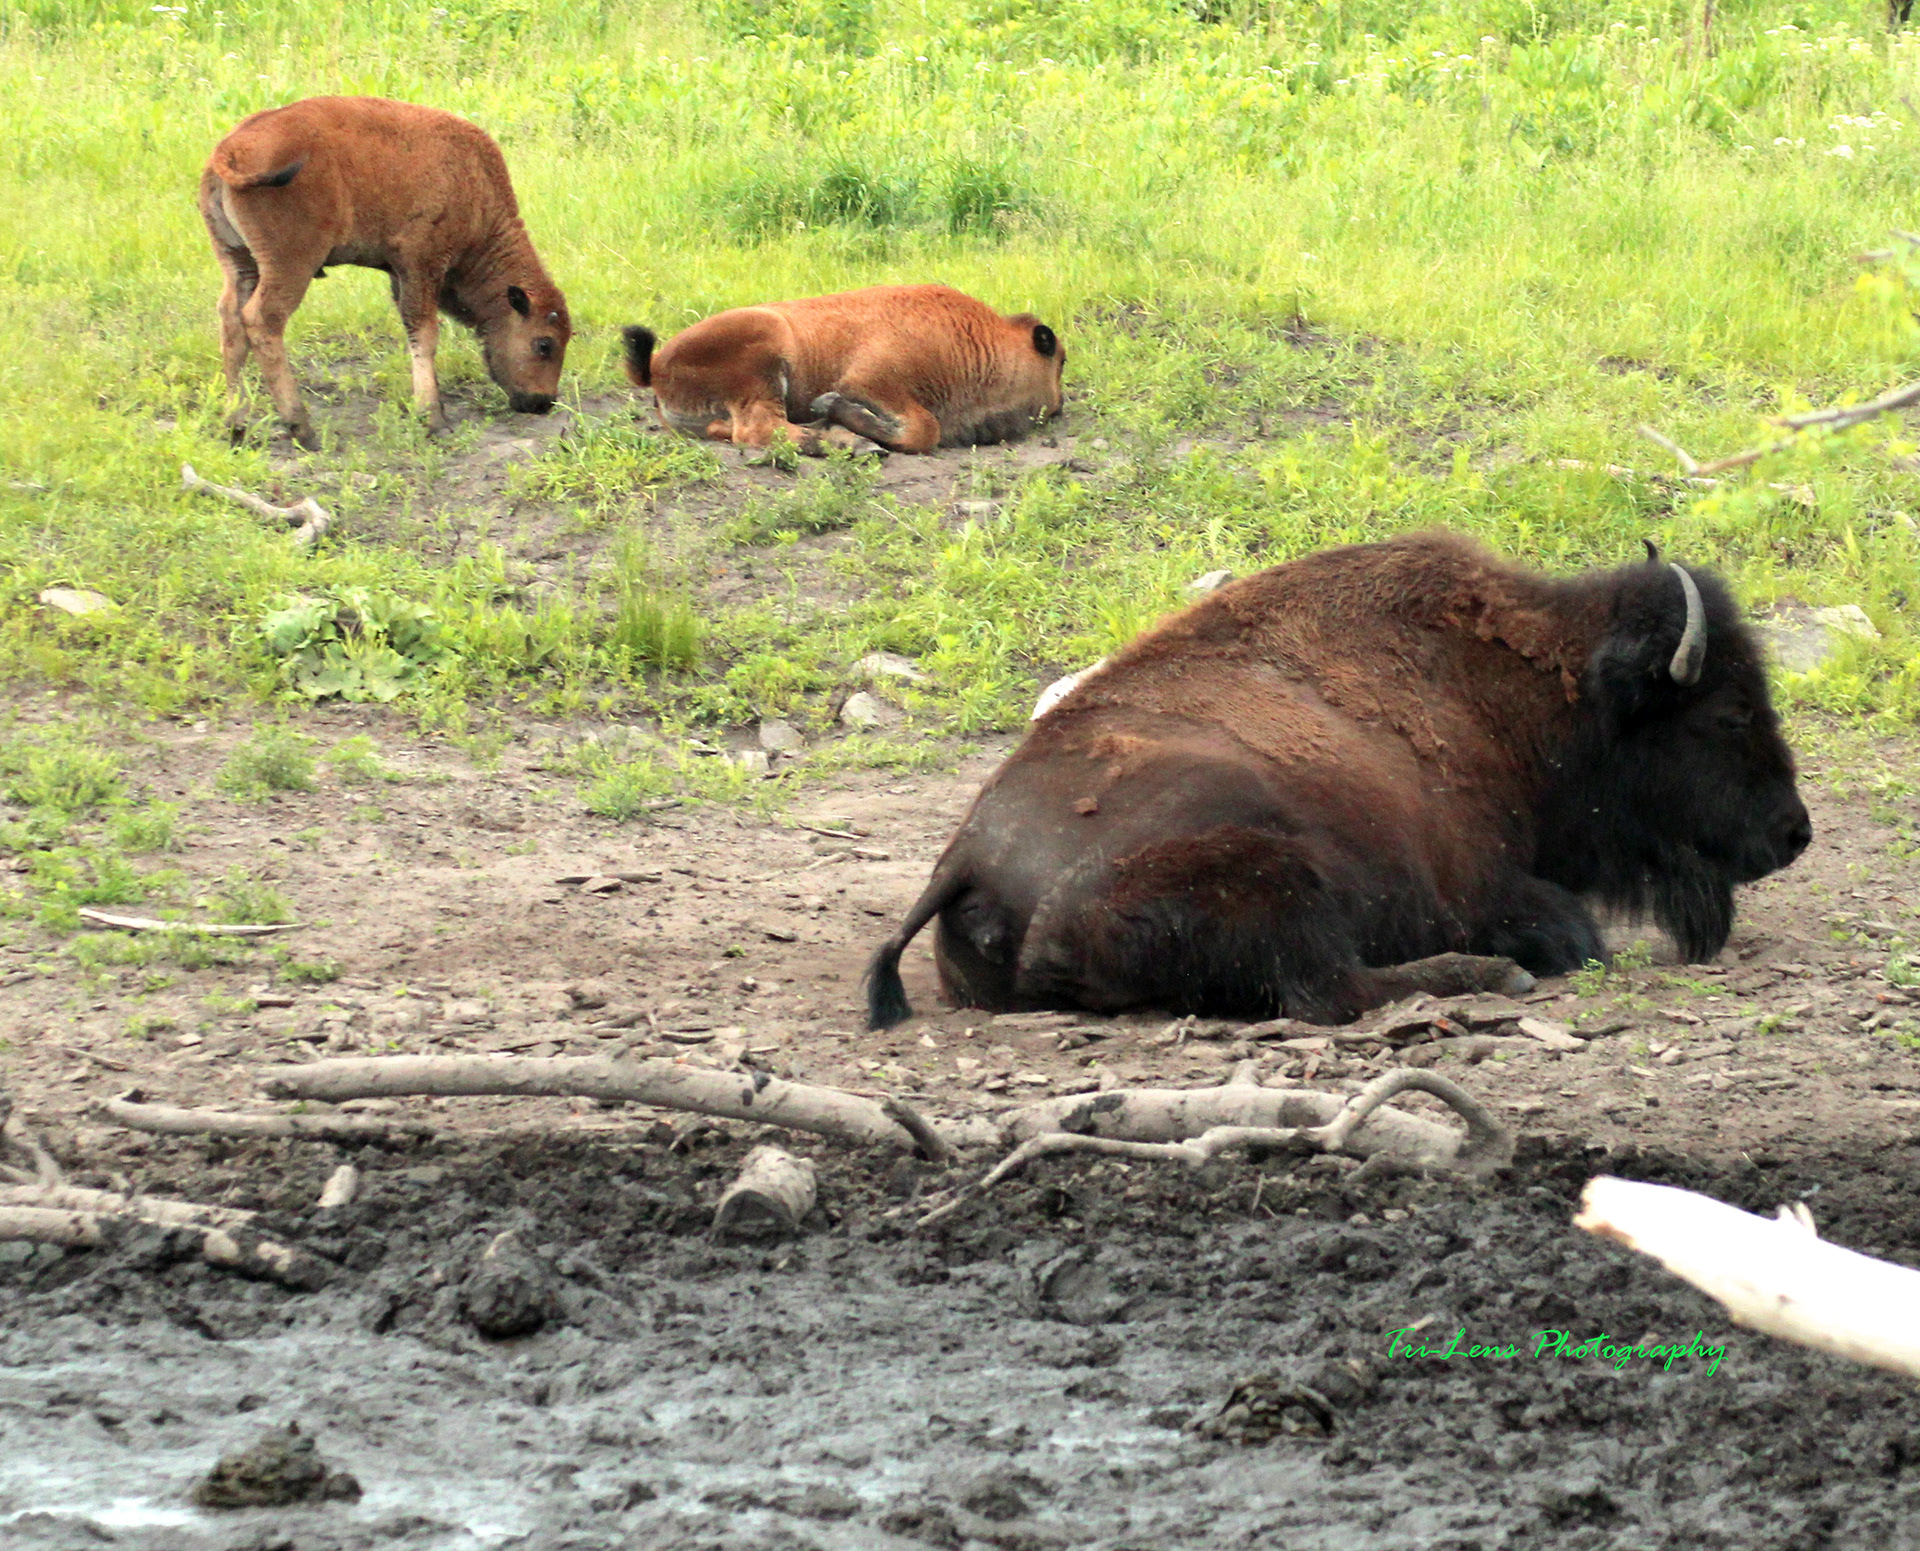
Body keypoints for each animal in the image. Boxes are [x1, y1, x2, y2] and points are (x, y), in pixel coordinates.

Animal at [867, 533, 1810, 1028]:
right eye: (1729, 712)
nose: (1794, 831)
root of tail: (968, 857)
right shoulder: (1484, 885)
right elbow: (1576, 932)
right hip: (1273, 873)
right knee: (1330, 989)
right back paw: (1491, 976)